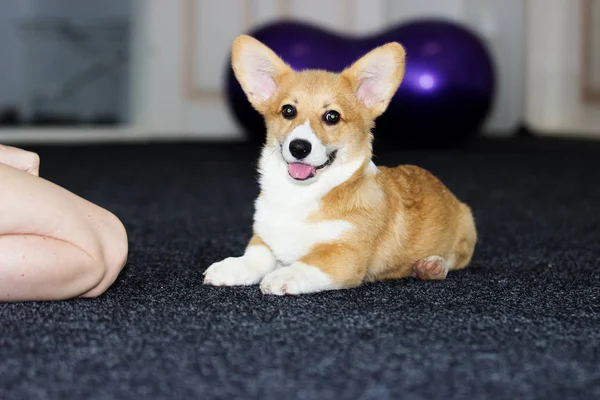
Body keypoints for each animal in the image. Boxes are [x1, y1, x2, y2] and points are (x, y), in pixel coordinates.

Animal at [205, 36, 478, 296]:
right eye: (288, 111)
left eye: (332, 117)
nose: (299, 147)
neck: (299, 195)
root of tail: (445, 190)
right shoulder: (264, 237)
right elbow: (255, 257)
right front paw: (230, 267)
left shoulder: (344, 256)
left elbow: (307, 264)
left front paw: (282, 276)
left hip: (466, 230)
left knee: (455, 259)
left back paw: (431, 266)